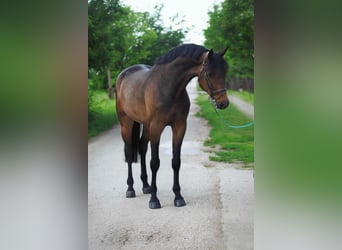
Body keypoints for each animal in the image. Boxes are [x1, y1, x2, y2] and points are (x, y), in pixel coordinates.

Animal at [115, 43, 230, 209]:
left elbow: (176, 162)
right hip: (127, 123)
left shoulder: (179, 127)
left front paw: (178, 197)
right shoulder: (156, 127)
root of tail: (123, 75)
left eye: (225, 72)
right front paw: (154, 200)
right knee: (130, 151)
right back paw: (130, 189)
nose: (223, 103)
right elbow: (155, 163)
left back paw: (146, 186)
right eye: (210, 73)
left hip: (146, 125)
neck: (168, 87)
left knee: (142, 148)